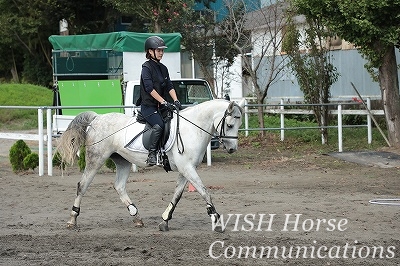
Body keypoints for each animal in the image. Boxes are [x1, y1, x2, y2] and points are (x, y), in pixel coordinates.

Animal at [55, 98, 244, 232]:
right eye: (229, 125)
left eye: (239, 124)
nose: (232, 149)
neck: (192, 129)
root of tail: (97, 118)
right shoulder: (187, 169)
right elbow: (204, 192)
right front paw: (216, 220)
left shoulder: (186, 169)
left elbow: (177, 195)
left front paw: (165, 220)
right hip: (96, 159)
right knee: (82, 185)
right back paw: (72, 219)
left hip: (123, 161)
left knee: (119, 186)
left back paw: (136, 217)